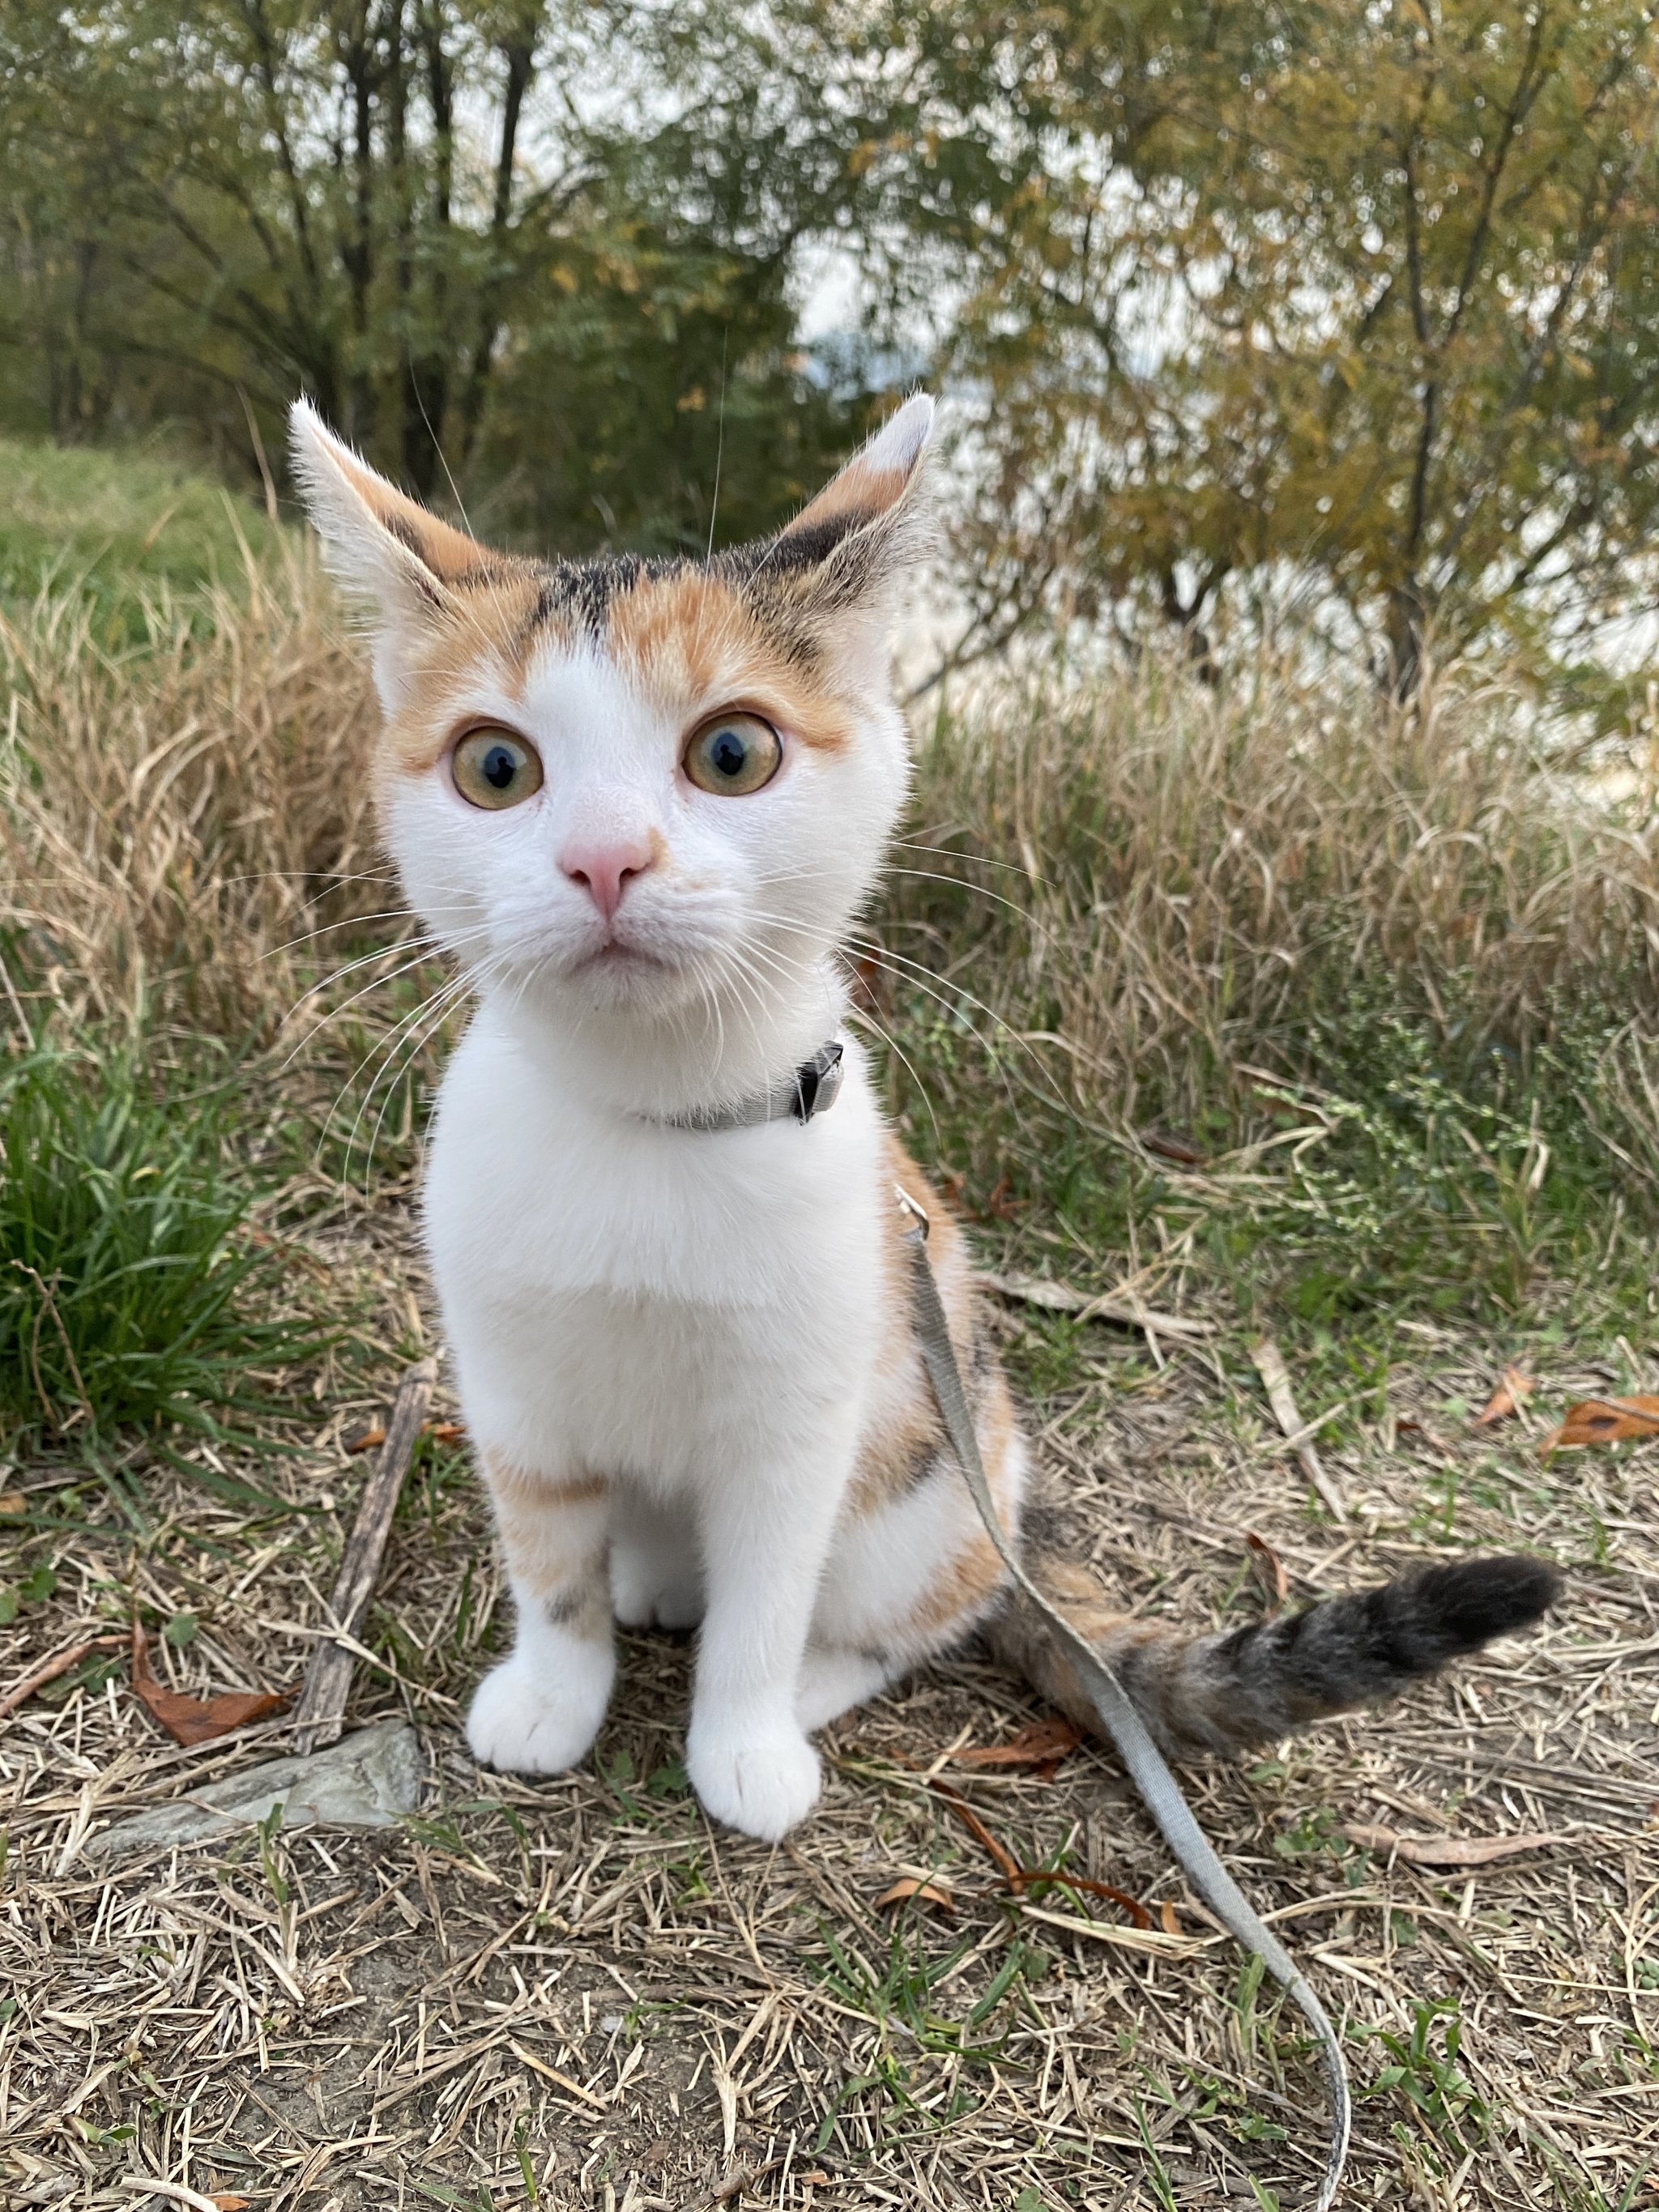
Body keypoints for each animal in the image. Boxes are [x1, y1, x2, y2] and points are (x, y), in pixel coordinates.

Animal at [296, 398, 1557, 1849]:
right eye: (495, 767)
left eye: (732, 751)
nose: (605, 859)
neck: (655, 1117)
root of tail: (1007, 1497)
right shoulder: (513, 1389)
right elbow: (548, 1555)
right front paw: (553, 1692)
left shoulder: (805, 1417)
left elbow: (766, 1600)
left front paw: (741, 1743)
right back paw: (654, 1580)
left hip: (925, 1486)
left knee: (912, 1616)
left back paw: (808, 1683)